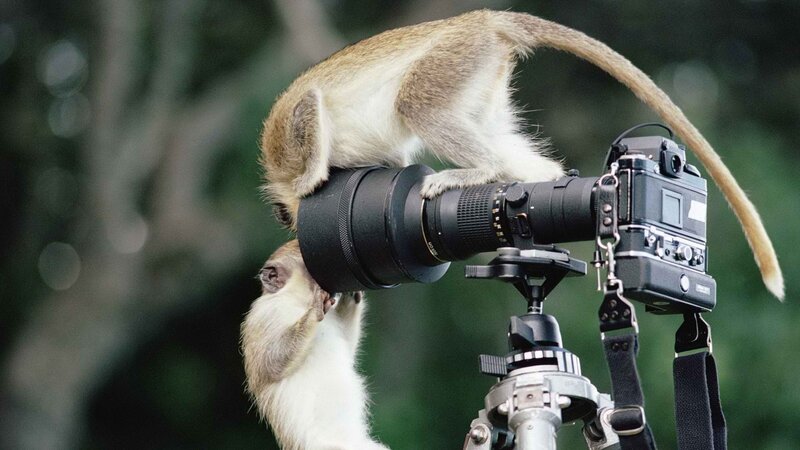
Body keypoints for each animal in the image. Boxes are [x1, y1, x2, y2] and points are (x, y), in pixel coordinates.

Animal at [260, 11, 783, 295]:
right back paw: (544, 181)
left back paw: (479, 172)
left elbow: (309, 111)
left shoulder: (289, 134)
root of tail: (484, 20)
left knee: (416, 102)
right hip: (478, 71)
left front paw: (313, 181)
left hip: (450, 61)